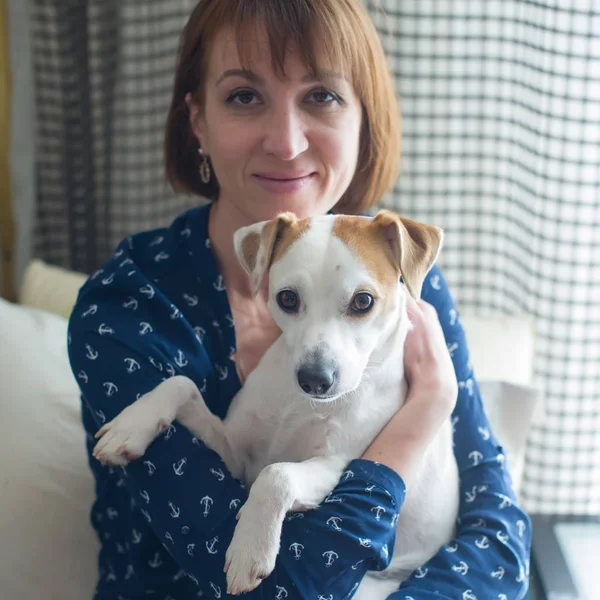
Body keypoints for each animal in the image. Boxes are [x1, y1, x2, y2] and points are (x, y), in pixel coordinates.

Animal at [94, 210, 460, 596]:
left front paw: (250, 548)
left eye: (363, 301)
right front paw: (132, 425)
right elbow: (181, 384)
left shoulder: (337, 466)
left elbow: (277, 474)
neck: (298, 404)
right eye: (287, 298)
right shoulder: (235, 457)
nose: (315, 379)